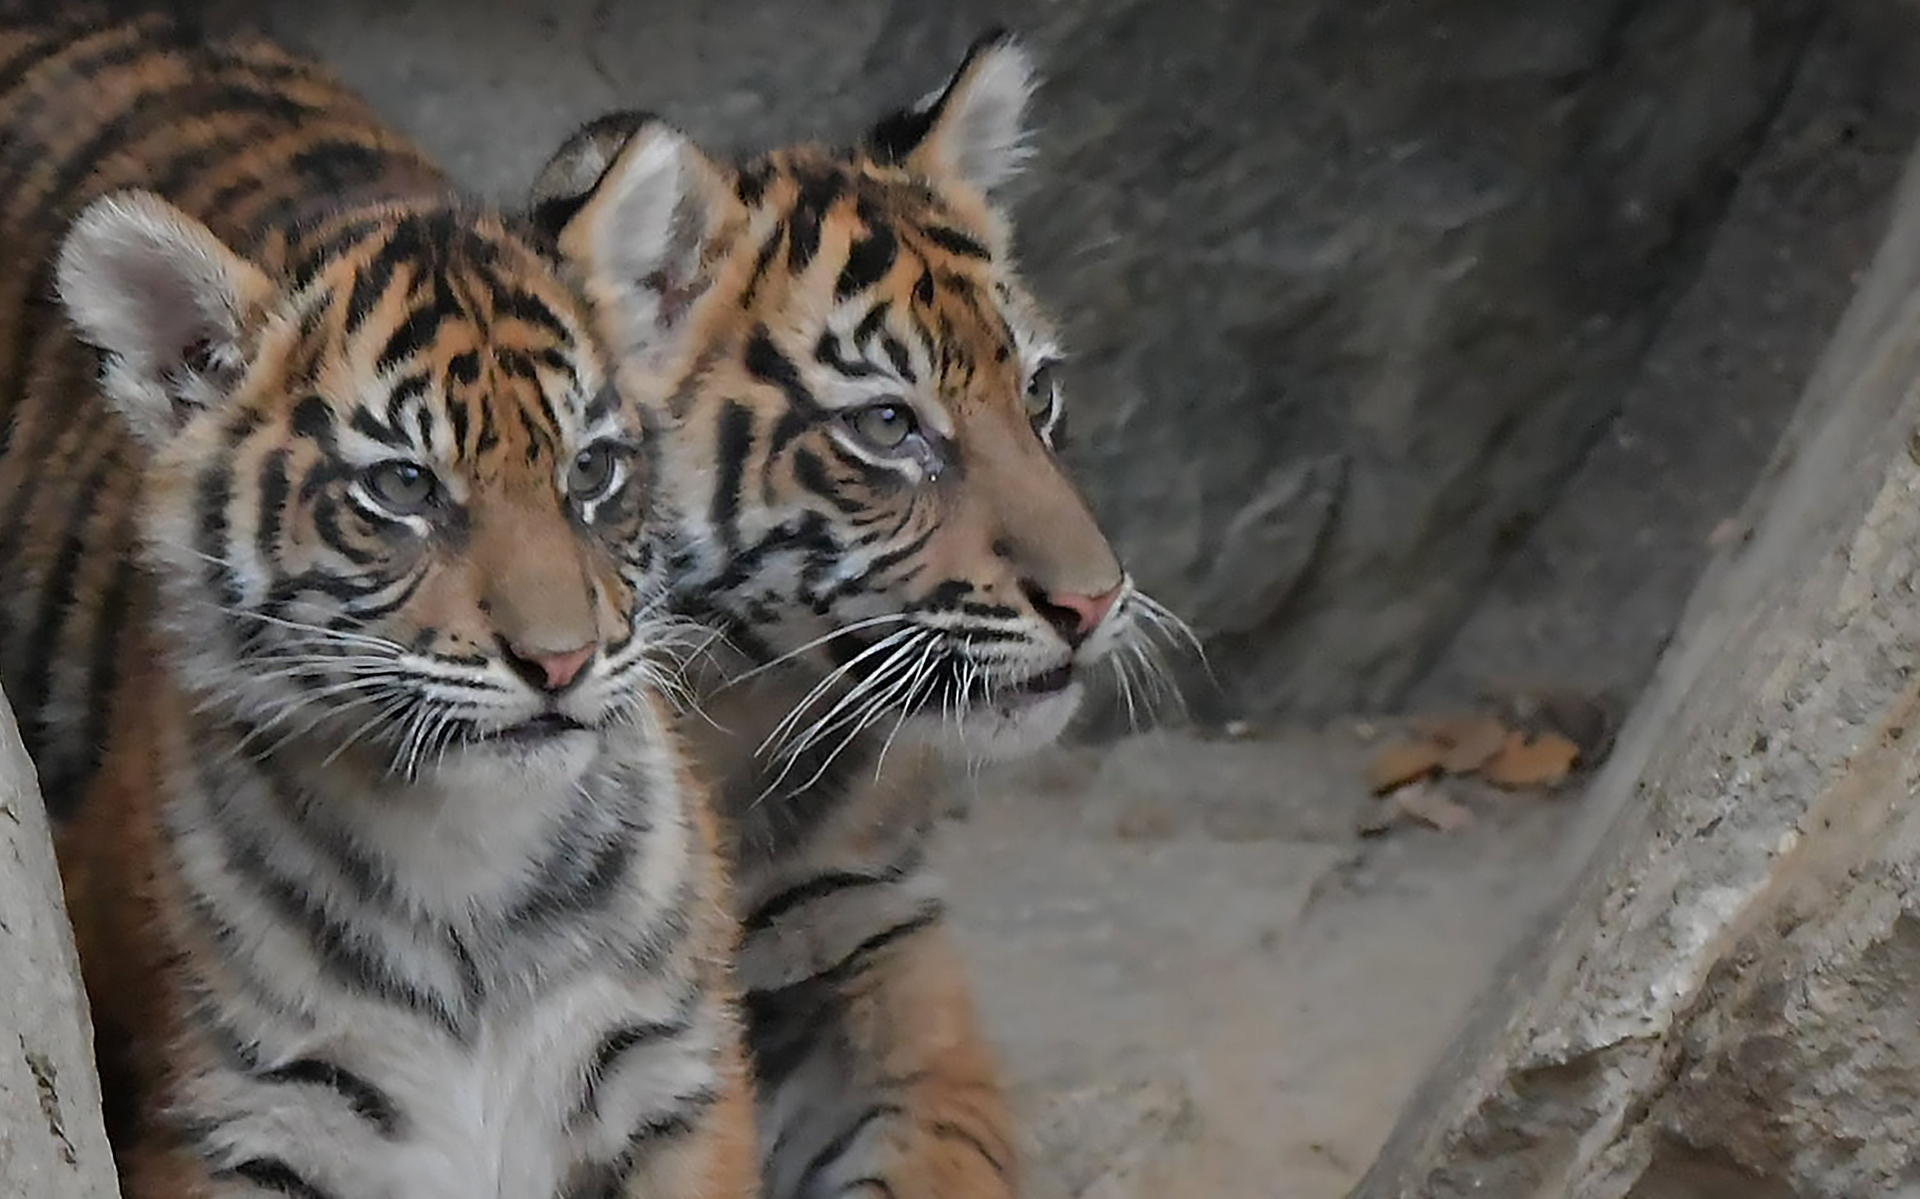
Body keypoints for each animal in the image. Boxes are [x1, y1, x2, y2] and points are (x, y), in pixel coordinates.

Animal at [0, 9, 756, 1197]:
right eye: (403, 487)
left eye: (592, 471)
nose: (561, 661)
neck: (470, 863)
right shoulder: (241, 1122)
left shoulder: (673, 1085)